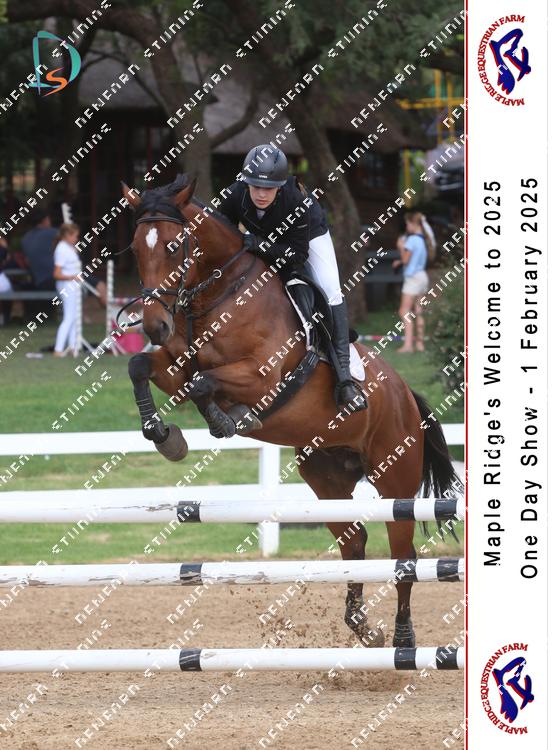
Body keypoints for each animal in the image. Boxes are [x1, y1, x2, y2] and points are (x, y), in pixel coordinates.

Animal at [120, 175, 460, 648]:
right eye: (135, 247)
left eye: (173, 246)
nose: (155, 326)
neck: (222, 294)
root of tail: (406, 396)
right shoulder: (175, 367)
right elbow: (144, 367)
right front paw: (166, 436)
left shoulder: (262, 377)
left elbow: (204, 383)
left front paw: (226, 420)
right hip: (325, 476)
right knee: (354, 542)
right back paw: (363, 626)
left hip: (396, 477)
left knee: (402, 555)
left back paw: (402, 638)